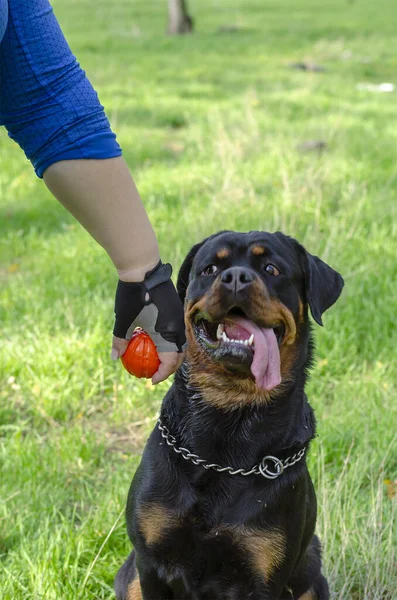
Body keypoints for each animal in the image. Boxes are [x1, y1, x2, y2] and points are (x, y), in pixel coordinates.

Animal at [114, 231, 344, 600]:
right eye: (210, 269)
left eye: (271, 268)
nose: (236, 277)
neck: (229, 412)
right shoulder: (150, 564)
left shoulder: (262, 576)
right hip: (131, 574)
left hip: (311, 571)